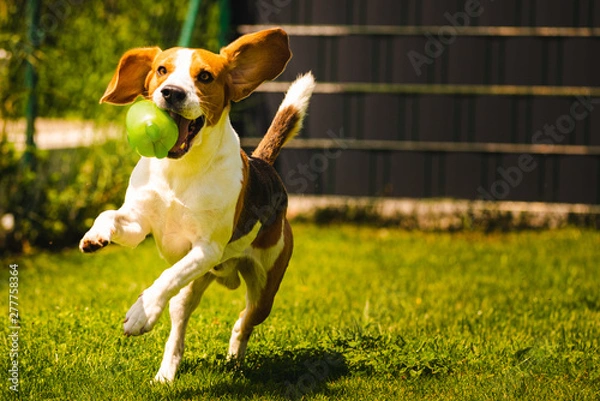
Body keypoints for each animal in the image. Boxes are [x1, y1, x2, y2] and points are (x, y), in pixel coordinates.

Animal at [80, 28, 316, 382]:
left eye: (205, 76)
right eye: (162, 70)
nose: (172, 93)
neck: (180, 169)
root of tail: (263, 162)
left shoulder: (206, 249)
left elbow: (166, 277)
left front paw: (141, 313)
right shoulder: (137, 224)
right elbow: (110, 215)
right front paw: (95, 236)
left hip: (263, 289)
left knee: (242, 321)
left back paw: (234, 358)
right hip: (197, 283)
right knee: (180, 311)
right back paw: (167, 372)